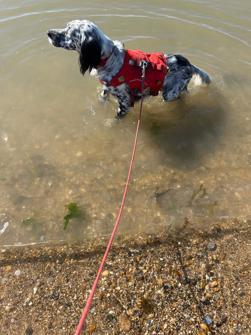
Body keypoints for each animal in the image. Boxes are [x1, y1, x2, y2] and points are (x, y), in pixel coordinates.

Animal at [47, 20, 210, 119]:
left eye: (69, 32)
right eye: (66, 26)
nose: (48, 33)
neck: (109, 58)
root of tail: (188, 63)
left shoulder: (125, 103)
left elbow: (114, 120)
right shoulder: (106, 91)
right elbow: (101, 100)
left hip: (169, 94)